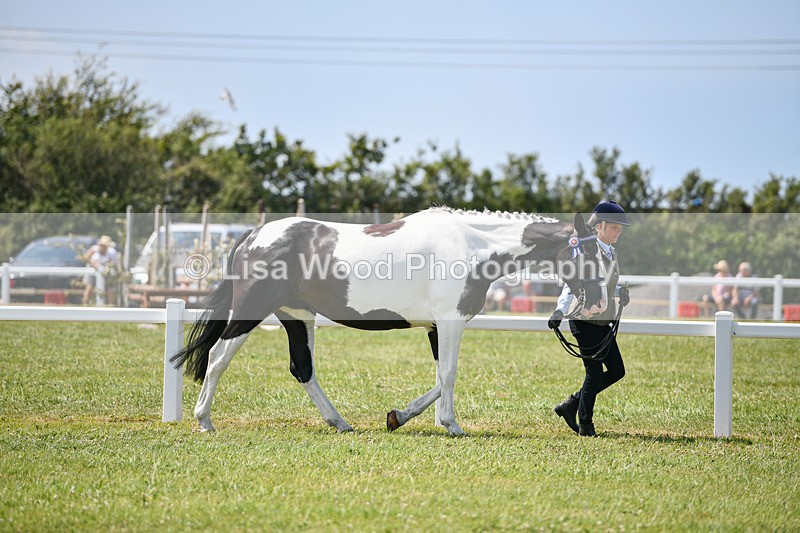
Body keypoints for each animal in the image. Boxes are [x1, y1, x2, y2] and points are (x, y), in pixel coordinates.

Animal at [170, 207, 608, 436]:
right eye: (591, 255)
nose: (601, 302)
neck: (471, 246)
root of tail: (254, 236)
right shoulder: (451, 322)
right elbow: (449, 375)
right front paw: (449, 425)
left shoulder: (435, 327)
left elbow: (440, 377)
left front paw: (403, 417)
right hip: (252, 311)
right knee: (218, 356)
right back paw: (204, 421)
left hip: (297, 317)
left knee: (302, 369)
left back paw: (340, 422)